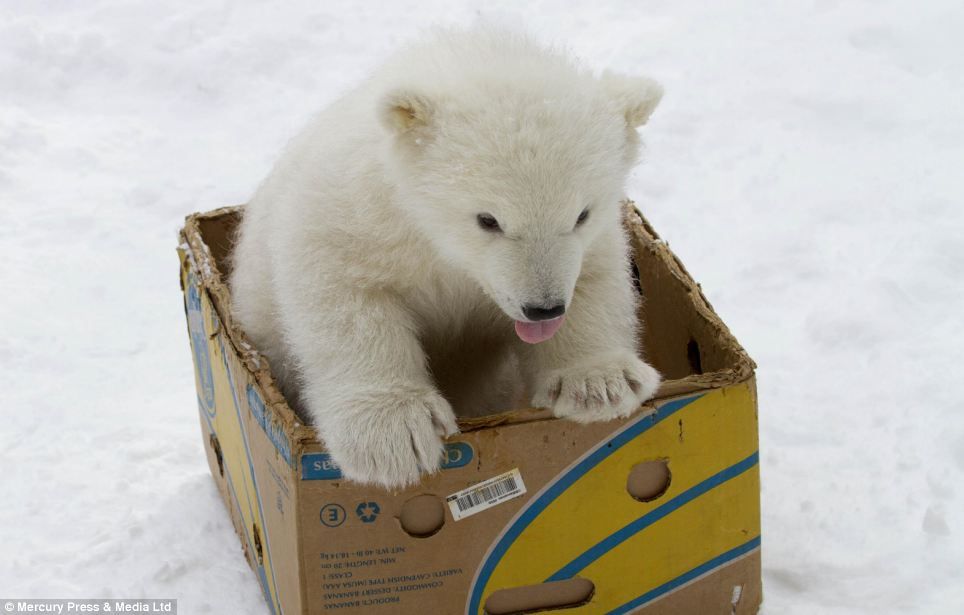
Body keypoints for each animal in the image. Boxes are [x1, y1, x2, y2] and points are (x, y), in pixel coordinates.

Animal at [230, 25, 663, 489]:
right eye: (488, 219)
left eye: (582, 214)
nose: (543, 308)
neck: (443, 249)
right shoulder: (356, 213)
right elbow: (341, 294)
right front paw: (393, 434)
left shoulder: (595, 240)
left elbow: (596, 279)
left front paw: (600, 384)